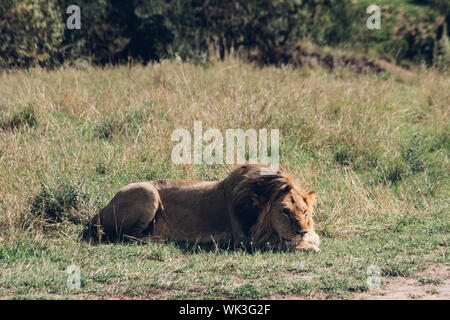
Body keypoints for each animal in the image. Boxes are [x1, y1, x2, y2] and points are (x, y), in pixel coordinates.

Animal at [83, 165, 320, 252]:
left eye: (305, 212)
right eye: (285, 212)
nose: (301, 231)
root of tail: (97, 213)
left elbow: (313, 237)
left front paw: (309, 239)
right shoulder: (246, 240)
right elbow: (282, 243)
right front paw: (307, 245)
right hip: (147, 192)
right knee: (123, 236)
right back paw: (159, 238)